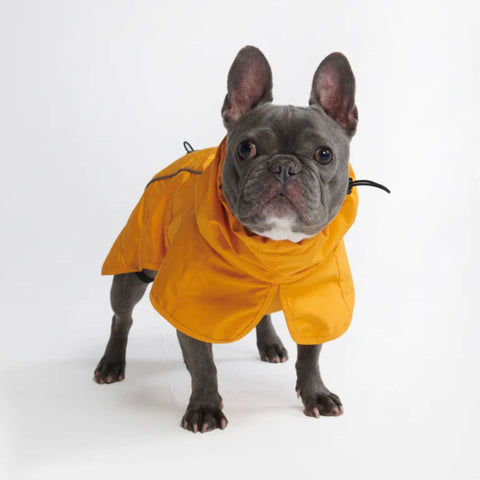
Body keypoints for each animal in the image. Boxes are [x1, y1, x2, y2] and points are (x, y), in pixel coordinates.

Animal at [94, 47, 364, 434]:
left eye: (324, 154)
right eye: (246, 149)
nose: (284, 166)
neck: (274, 248)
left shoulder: (319, 301)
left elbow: (311, 352)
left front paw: (316, 394)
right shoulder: (189, 301)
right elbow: (203, 362)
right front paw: (205, 407)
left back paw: (270, 343)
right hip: (135, 268)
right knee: (122, 316)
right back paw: (112, 362)